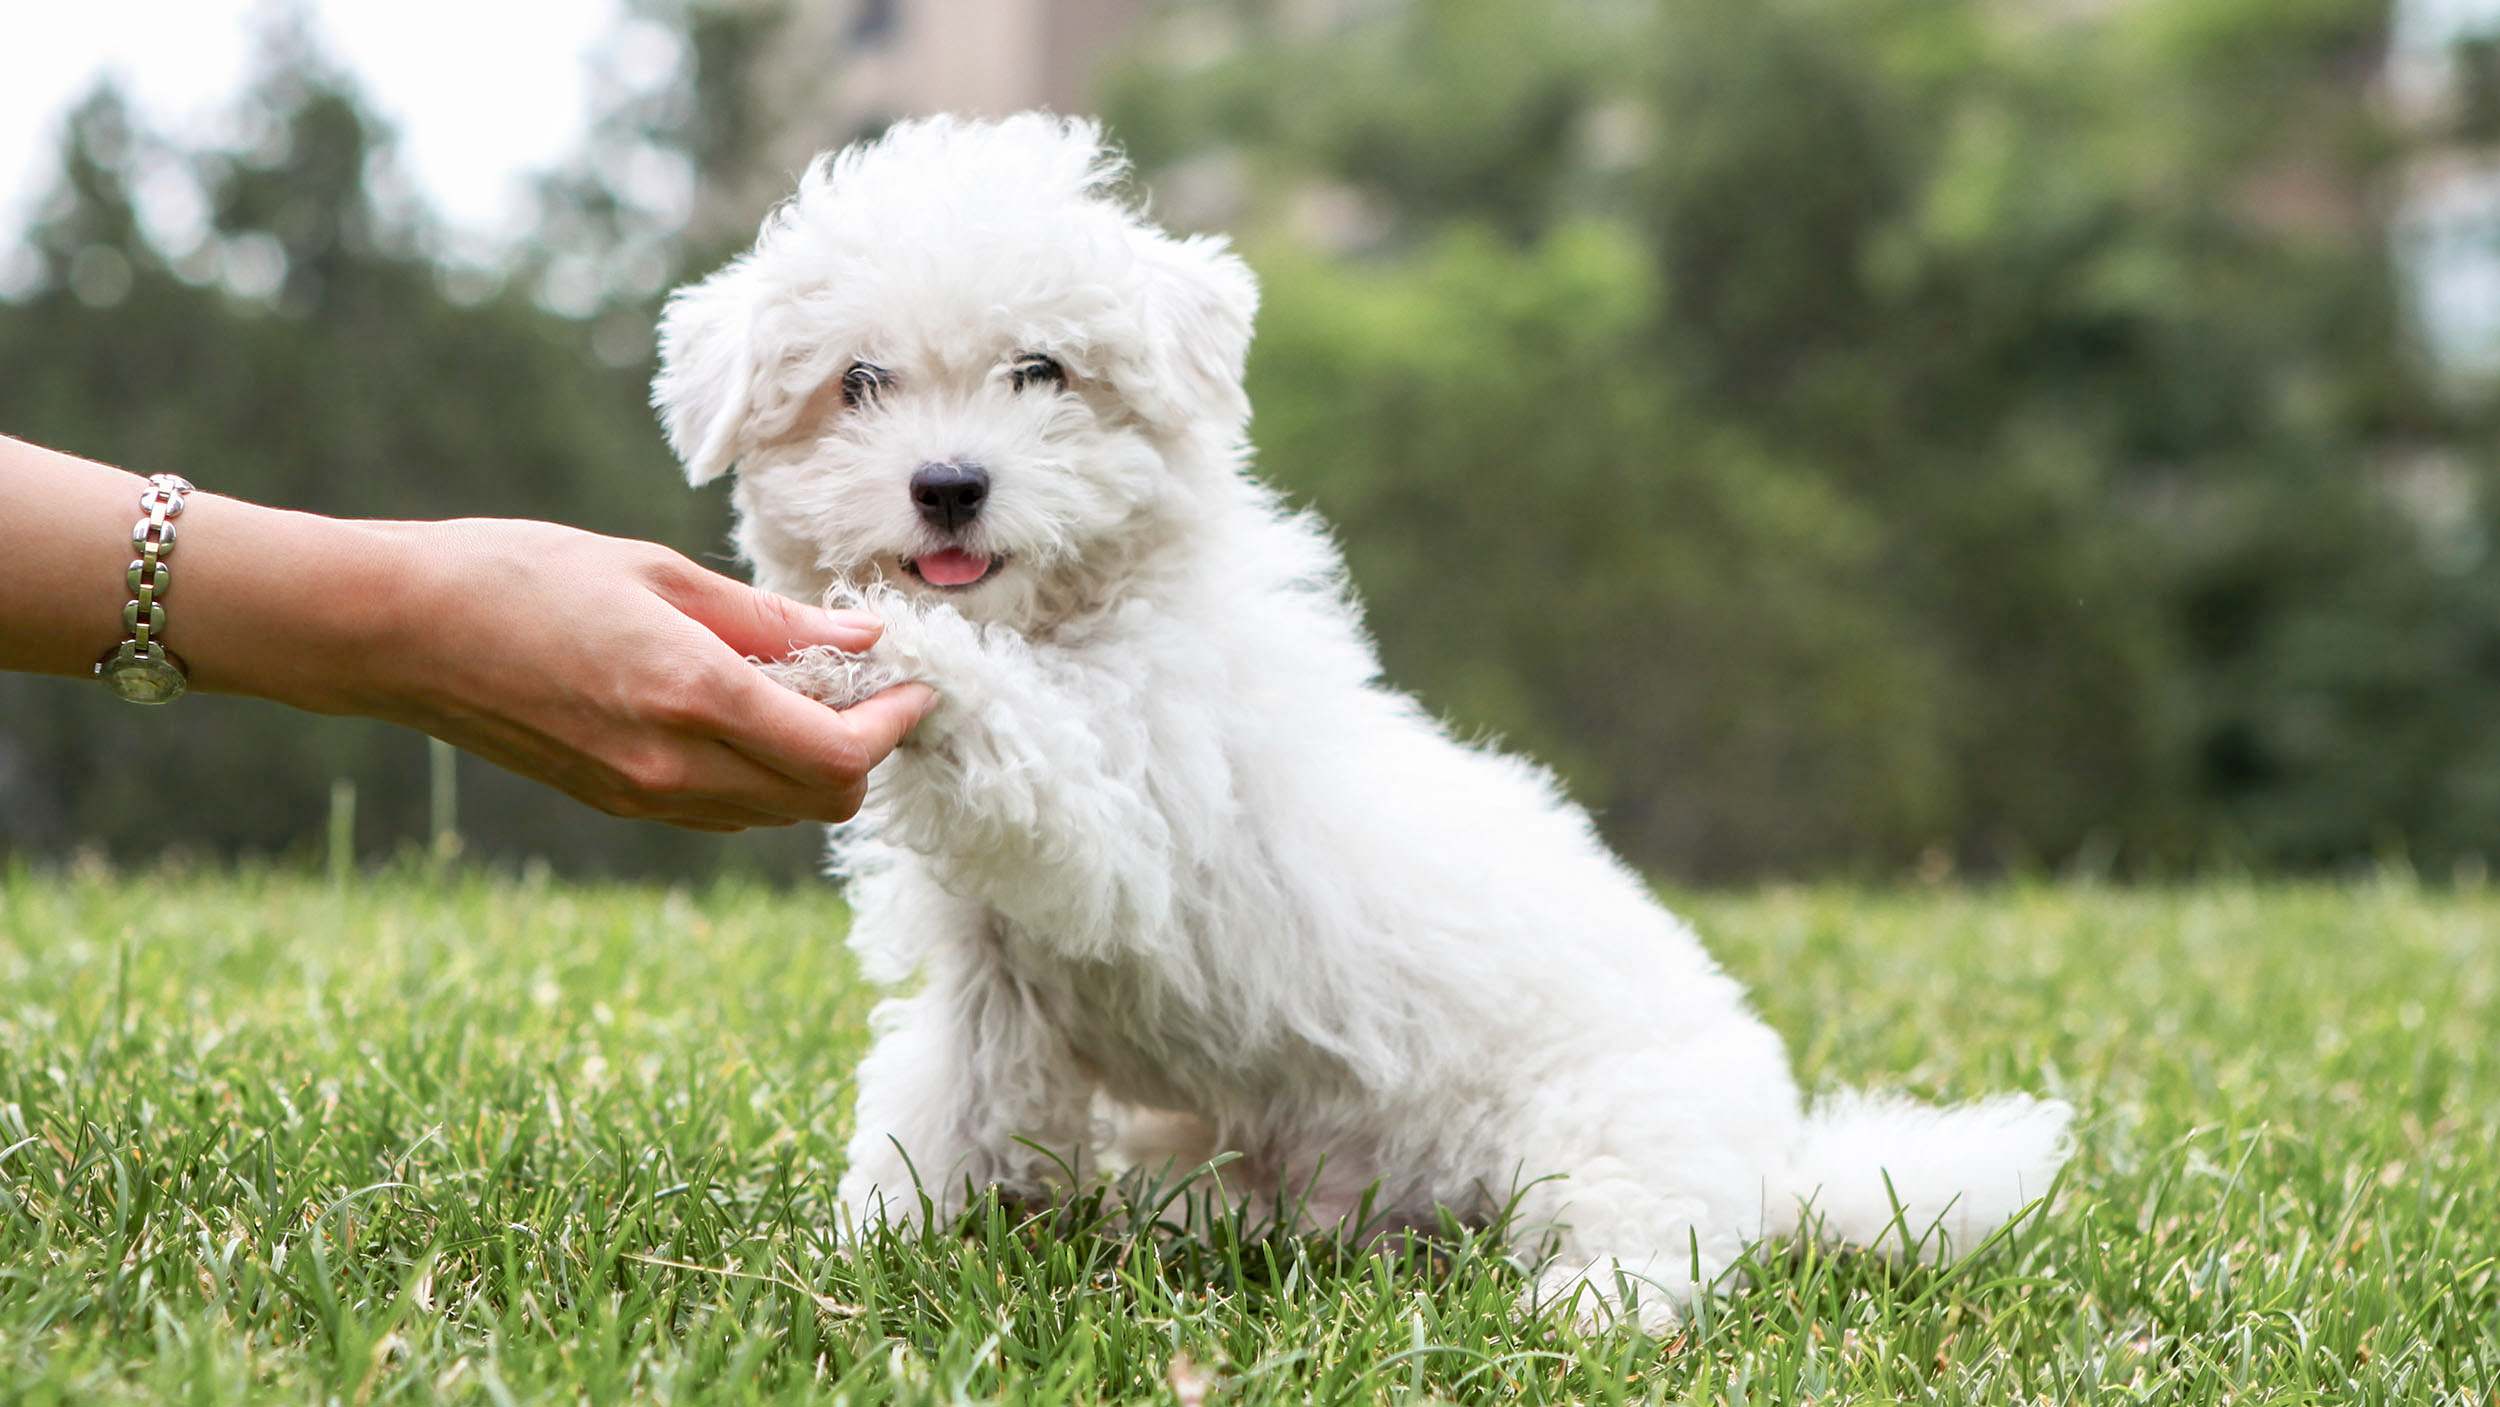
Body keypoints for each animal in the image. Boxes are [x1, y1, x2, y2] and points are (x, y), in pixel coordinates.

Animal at [655, 113, 2080, 1329]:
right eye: (859, 383)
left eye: (1040, 370)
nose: (949, 484)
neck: (1071, 619)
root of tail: (1782, 1164)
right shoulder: (989, 975)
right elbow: (936, 1112)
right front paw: (868, 1253)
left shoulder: (1117, 822)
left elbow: (1019, 737)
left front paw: (871, 650)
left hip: (1610, 1135)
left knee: (1653, 1250)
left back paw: (1570, 1313)